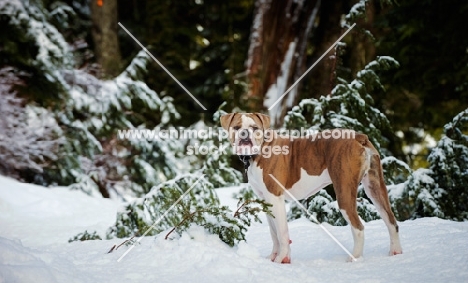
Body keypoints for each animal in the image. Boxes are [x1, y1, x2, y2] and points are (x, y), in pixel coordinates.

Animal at [220, 112, 402, 264]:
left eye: (254, 128)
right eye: (236, 127)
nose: (244, 134)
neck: (260, 149)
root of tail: (358, 136)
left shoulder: (275, 198)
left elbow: (282, 232)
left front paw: (281, 259)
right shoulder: (266, 201)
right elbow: (274, 233)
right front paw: (273, 258)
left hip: (344, 192)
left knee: (359, 227)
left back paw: (354, 258)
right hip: (375, 188)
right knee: (391, 221)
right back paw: (396, 252)